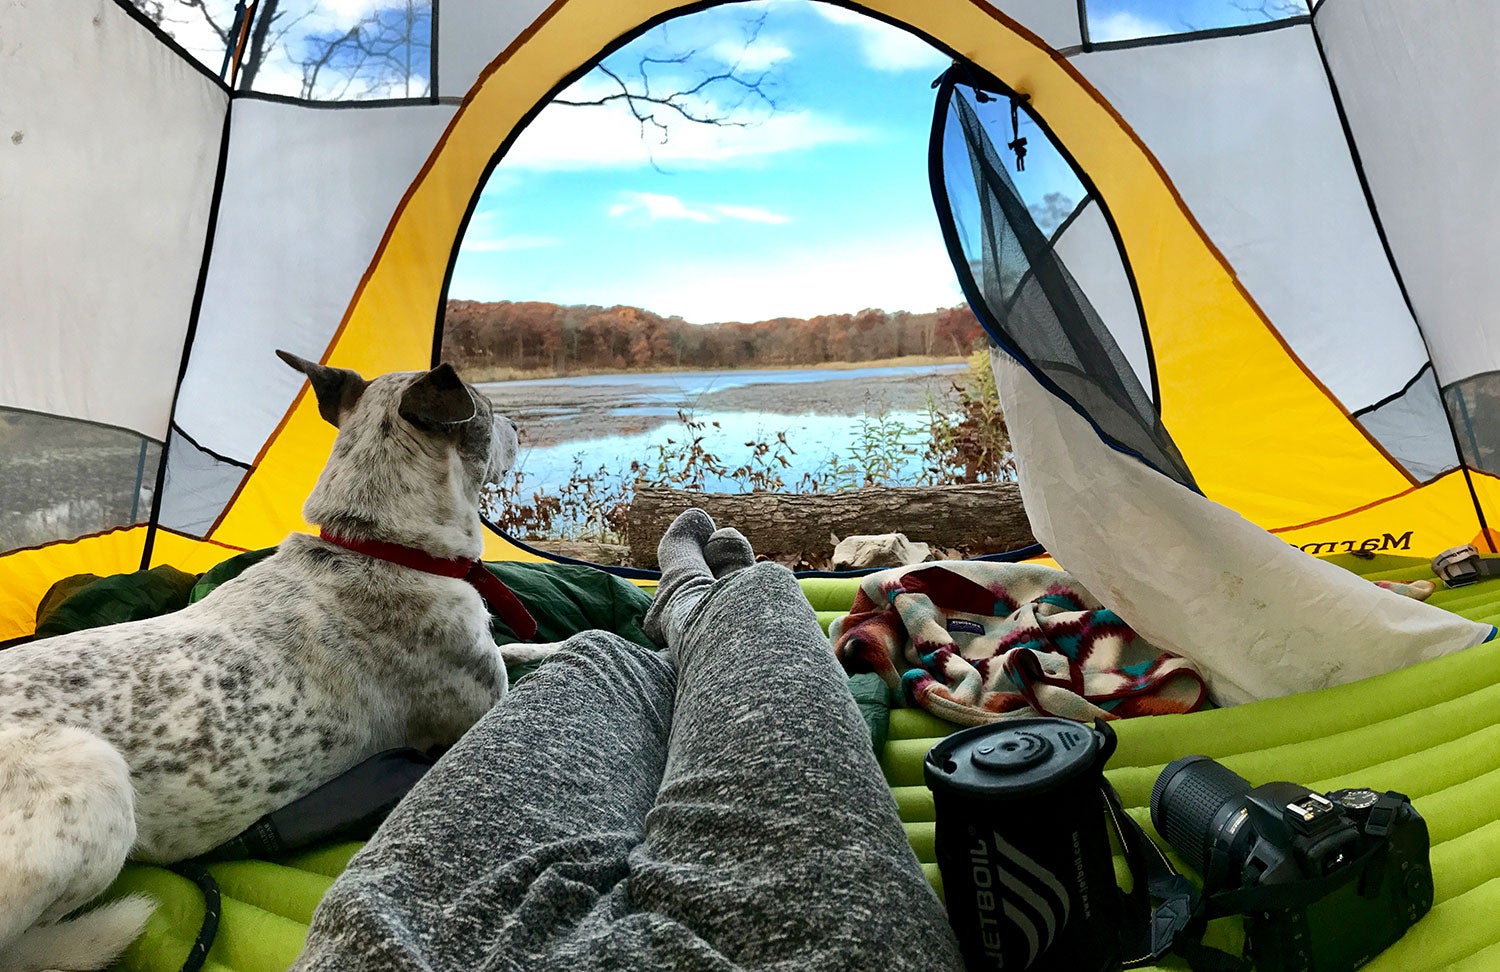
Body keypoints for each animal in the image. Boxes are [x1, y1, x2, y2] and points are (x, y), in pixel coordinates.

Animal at [0, 352, 558, 966]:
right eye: (487, 408)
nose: (518, 426)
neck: (380, 545)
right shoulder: (480, 708)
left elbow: (523, 646)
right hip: (95, 777)